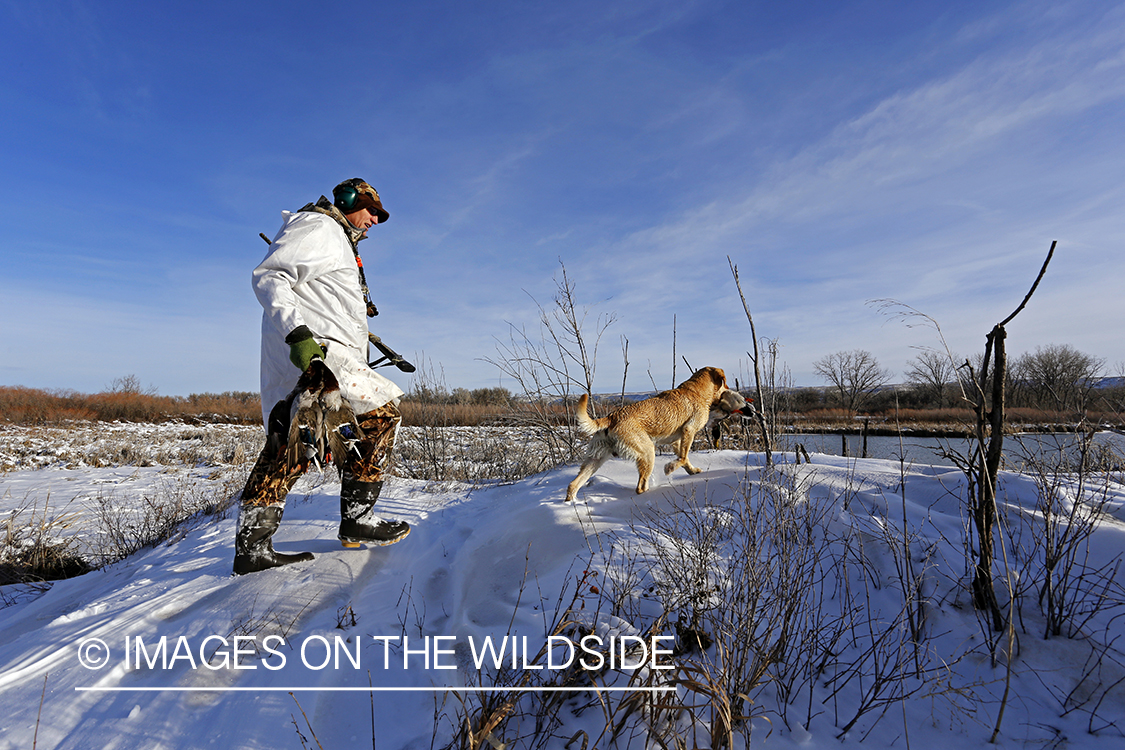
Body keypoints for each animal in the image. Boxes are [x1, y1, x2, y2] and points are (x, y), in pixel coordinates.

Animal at [562, 366, 729, 501]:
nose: (728, 390)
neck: (696, 391)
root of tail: (612, 417)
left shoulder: (677, 440)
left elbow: (685, 459)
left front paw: (692, 471)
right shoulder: (689, 431)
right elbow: (683, 457)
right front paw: (670, 468)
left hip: (595, 460)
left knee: (572, 485)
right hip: (648, 452)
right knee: (641, 487)